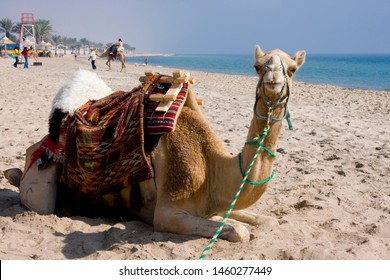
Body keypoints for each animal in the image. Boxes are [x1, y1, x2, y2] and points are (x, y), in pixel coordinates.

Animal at [4, 45, 306, 243]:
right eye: (258, 67)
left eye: (292, 69)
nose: (273, 80)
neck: (213, 169)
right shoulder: (168, 212)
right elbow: (237, 230)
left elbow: (265, 220)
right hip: (41, 185)